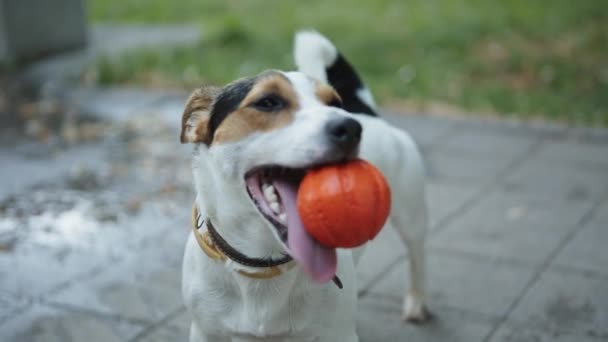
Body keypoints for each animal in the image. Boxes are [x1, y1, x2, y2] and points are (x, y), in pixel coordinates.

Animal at [178, 30, 430, 340]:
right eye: (267, 102)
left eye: (335, 104)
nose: (350, 127)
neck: (264, 263)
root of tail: (366, 113)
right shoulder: (204, 331)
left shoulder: (339, 333)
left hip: (412, 215)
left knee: (417, 256)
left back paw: (417, 303)